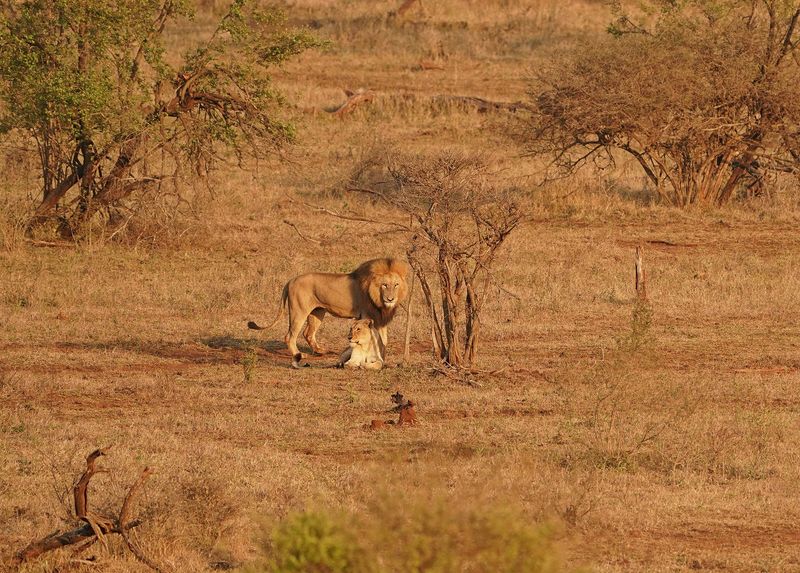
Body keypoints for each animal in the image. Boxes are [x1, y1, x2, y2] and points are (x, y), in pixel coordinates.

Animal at [248, 257, 409, 368]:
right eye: (384, 285)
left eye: (396, 285)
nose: (390, 298)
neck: (379, 299)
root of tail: (291, 280)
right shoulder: (367, 316)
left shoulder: (380, 318)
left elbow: (383, 340)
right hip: (299, 311)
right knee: (290, 336)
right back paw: (299, 354)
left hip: (318, 312)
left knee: (308, 333)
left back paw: (320, 351)